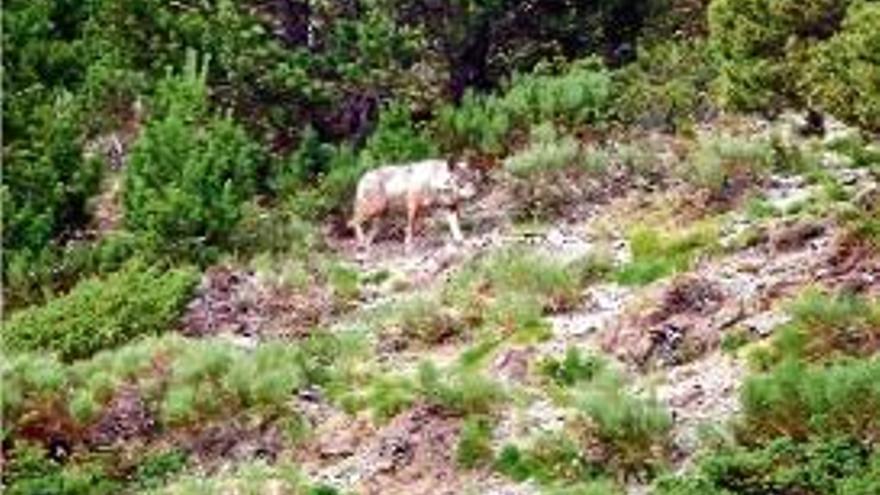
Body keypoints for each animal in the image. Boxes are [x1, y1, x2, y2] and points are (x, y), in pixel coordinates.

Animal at [348, 160, 478, 250]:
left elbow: (455, 228)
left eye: (472, 180)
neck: (432, 182)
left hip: (381, 216)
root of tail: (362, 178)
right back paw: (361, 242)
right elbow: (410, 227)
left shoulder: (450, 207)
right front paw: (409, 245)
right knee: (353, 221)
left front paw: (461, 241)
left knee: (369, 230)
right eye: (460, 183)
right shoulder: (413, 205)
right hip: (374, 209)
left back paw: (366, 244)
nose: (473, 195)